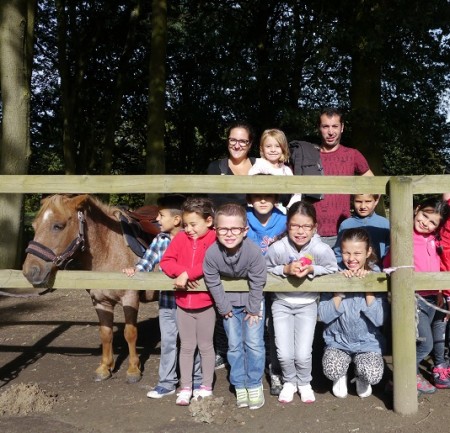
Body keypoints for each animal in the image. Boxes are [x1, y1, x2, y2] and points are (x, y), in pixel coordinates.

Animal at [22, 194, 161, 384]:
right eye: (34, 226)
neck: (109, 249)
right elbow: (105, 333)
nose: (30, 271)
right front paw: (105, 367)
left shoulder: (130, 298)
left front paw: (133, 369)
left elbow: (130, 333)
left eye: (58, 226)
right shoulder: (100, 301)